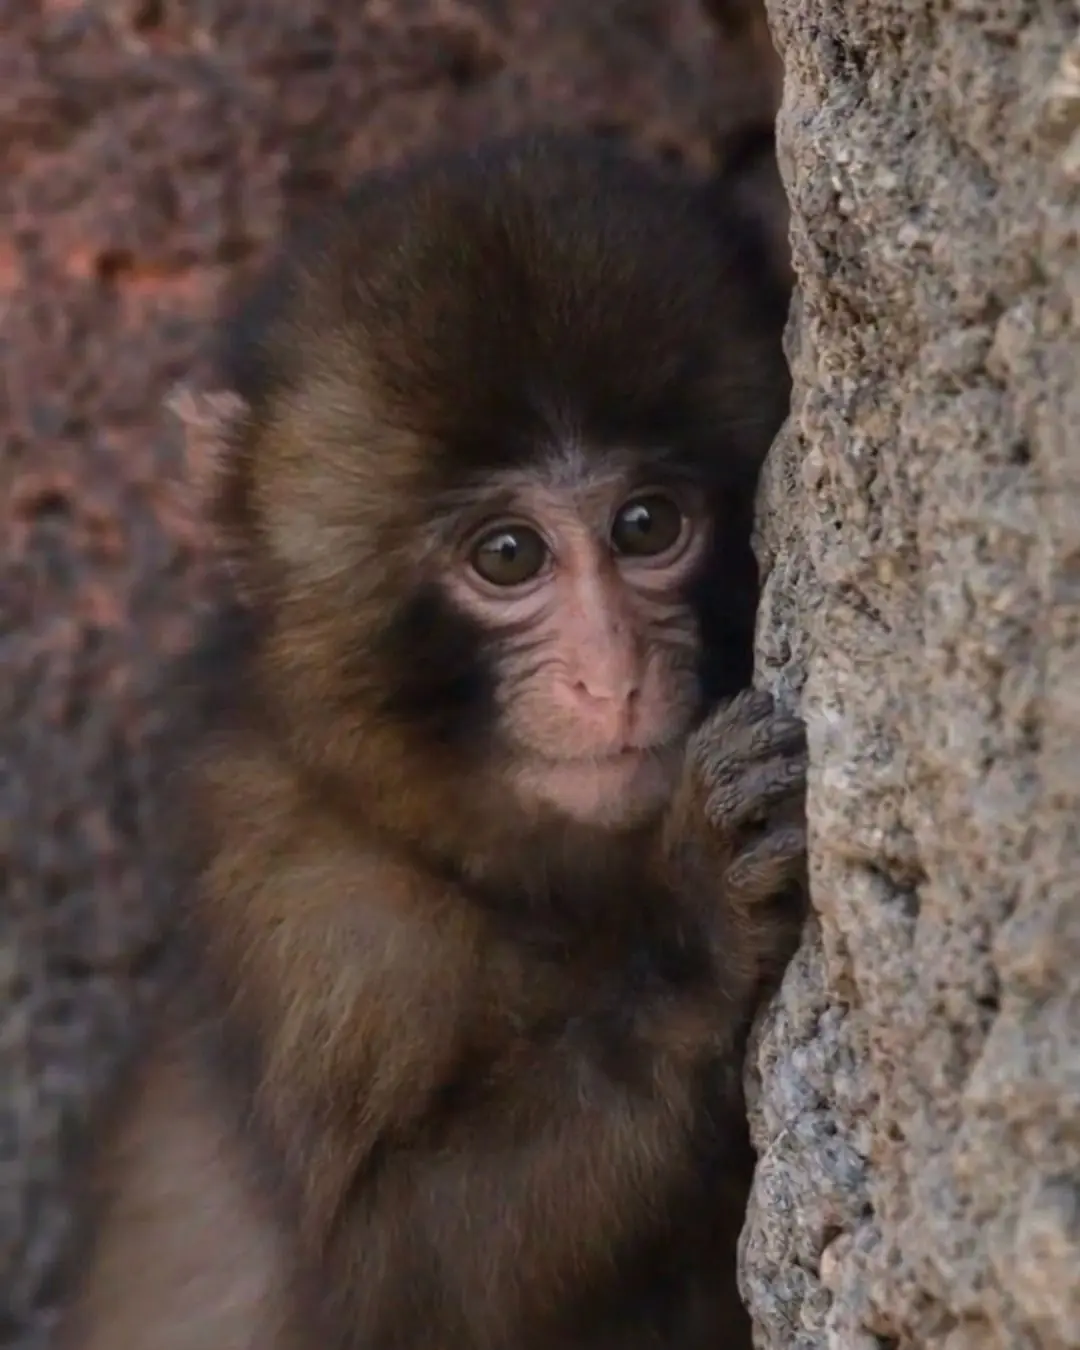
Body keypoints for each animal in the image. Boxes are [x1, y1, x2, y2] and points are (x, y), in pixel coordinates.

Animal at [57, 131, 805, 1350]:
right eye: (508, 554)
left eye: (647, 525)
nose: (613, 674)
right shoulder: (311, 902)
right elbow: (395, 1278)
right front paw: (697, 929)